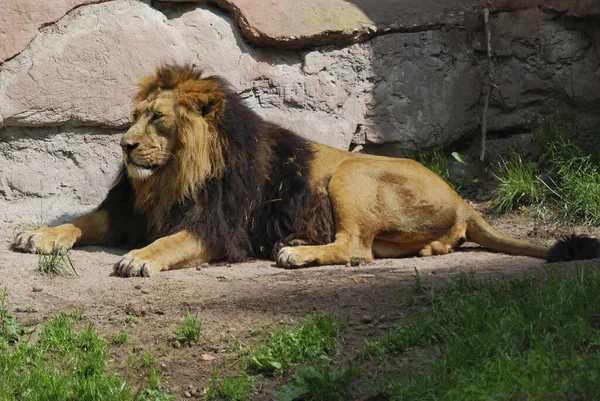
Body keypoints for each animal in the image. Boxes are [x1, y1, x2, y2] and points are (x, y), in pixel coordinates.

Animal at [11, 64, 600, 276]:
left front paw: (138, 258)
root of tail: (464, 200)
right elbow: (82, 221)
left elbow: (169, 242)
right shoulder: (128, 210)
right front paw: (37, 234)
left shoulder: (218, 227)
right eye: (134, 117)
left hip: (350, 174)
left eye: (158, 118)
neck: (171, 177)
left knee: (355, 248)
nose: (125, 145)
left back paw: (296, 252)